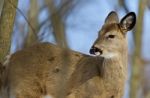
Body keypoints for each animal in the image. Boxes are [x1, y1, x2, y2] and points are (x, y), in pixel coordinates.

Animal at [0, 10, 136, 98]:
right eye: (98, 32)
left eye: (111, 35)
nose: (93, 49)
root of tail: (11, 57)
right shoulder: (78, 94)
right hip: (25, 89)